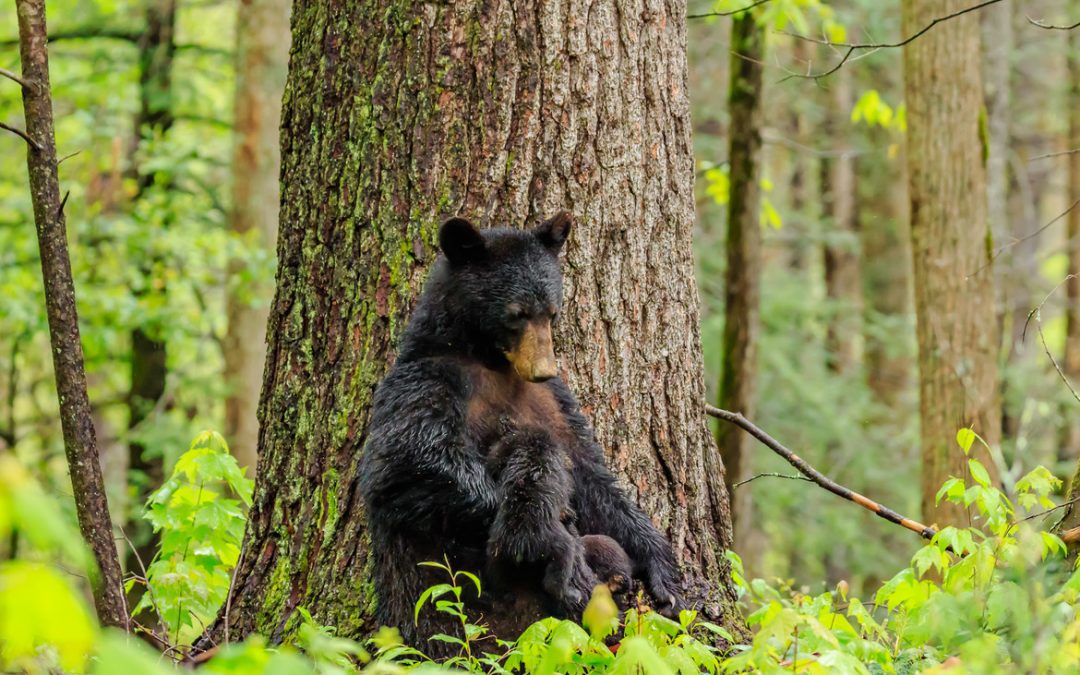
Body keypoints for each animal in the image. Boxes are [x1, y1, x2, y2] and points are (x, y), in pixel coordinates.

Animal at [358, 212, 682, 653]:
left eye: (552, 313)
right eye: (516, 313)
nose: (544, 368)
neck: (492, 363)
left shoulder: (554, 403)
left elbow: (592, 475)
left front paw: (664, 568)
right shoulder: (427, 382)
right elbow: (405, 462)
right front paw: (551, 533)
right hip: (437, 615)